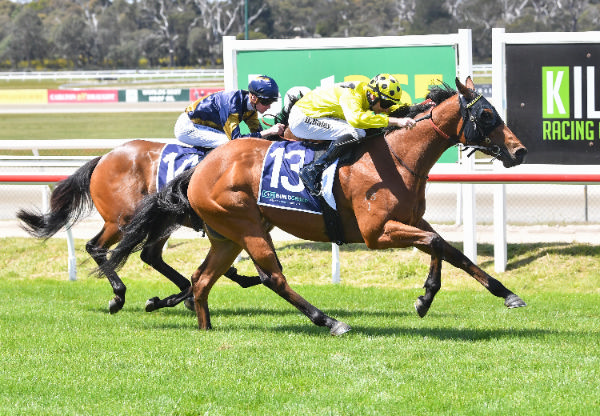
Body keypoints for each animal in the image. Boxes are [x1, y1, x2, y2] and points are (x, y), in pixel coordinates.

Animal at [17, 139, 256, 312]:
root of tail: (104, 158)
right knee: (97, 247)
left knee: (150, 256)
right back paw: (119, 295)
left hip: (159, 220)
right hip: (126, 219)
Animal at [101, 76, 528, 334]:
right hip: (247, 227)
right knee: (272, 277)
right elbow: (438, 245)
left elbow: (449, 250)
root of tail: (203, 165)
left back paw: (202, 326)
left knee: (201, 279)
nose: (519, 151)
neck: (398, 156)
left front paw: (493, 294)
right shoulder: (377, 233)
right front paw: (430, 297)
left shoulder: (411, 221)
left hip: (227, 236)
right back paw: (329, 320)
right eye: (486, 114)